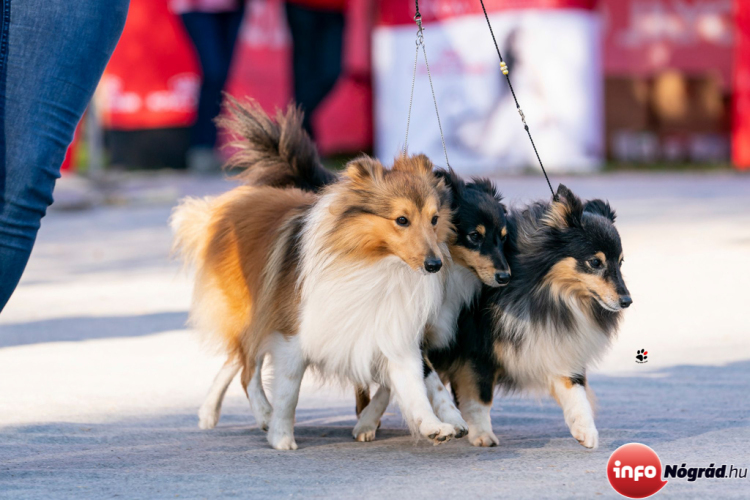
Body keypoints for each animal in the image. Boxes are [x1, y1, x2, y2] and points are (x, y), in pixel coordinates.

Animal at [179, 99, 516, 448]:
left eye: (435, 219)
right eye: (402, 220)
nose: (434, 264)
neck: (376, 262)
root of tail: (227, 205)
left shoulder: (396, 330)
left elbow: (414, 385)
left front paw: (436, 424)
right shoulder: (294, 333)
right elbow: (289, 391)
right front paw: (282, 436)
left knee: (236, 361)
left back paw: (210, 413)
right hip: (253, 311)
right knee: (247, 368)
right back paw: (261, 414)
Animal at [358, 185, 636, 450]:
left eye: (621, 263)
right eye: (595, 262)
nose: (627, 301)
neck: (548, 291)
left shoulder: (556, 344)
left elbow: (576, 390)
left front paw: (586, 431)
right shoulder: (477, 351)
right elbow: (480, 398)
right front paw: (482, 434)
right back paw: (367, 422)